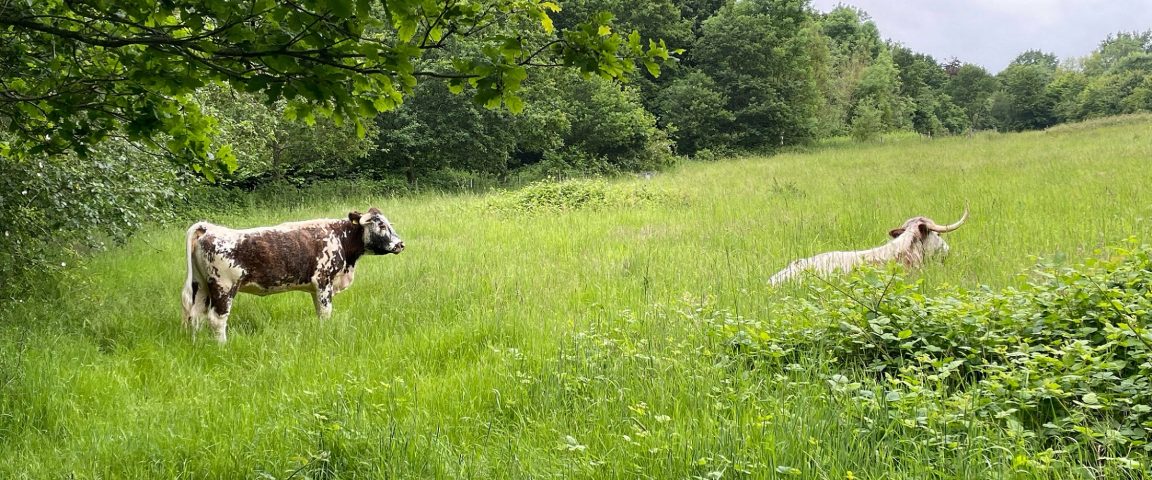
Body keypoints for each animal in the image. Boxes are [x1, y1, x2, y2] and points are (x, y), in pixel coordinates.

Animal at [181, 208, 404, 343]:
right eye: (381, 225)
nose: (401, 244)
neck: (340, 239)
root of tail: (209, 228)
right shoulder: (324, 282)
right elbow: (326, 313)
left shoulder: (315, 289)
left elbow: (320, 313)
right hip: (224, 287)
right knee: (217, 319)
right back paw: (222, 346)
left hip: (201, 286)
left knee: (196, 316)